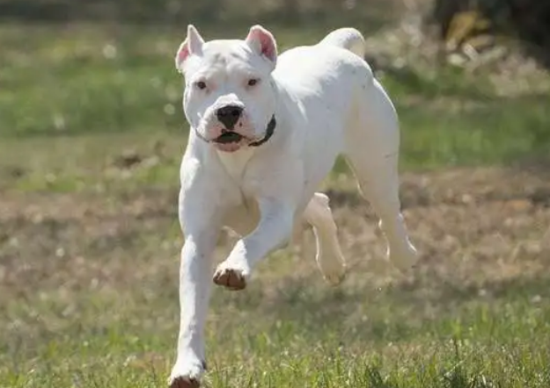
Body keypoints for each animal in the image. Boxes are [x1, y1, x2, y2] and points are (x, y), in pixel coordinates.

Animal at [168, 25, 418, 388]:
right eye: (201, 84)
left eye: (252, 81)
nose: (228, 111)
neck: (239, 156)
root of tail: (334, 48)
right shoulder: (198, 238)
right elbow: (192, 309)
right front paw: (187, 367)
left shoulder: (276, 216)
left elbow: (251, 241)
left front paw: (234, 268)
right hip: (303, 196)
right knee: (320, 205)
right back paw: (332, 264)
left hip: (374, 167)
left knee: (387, 212)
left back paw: (403, 254)